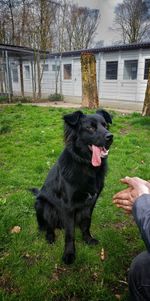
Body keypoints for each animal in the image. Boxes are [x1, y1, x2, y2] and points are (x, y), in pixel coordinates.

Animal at [32, 109, 113, 262]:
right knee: (48, 226)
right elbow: (70, 233)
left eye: (105, 125)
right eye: (90, 128)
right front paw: (69, 253)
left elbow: (86, 223)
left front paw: (87, 239)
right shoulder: (68, 206)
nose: (110, 136)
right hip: (42, 204)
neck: (86, 165)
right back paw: (50, 236)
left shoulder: (91, 202)